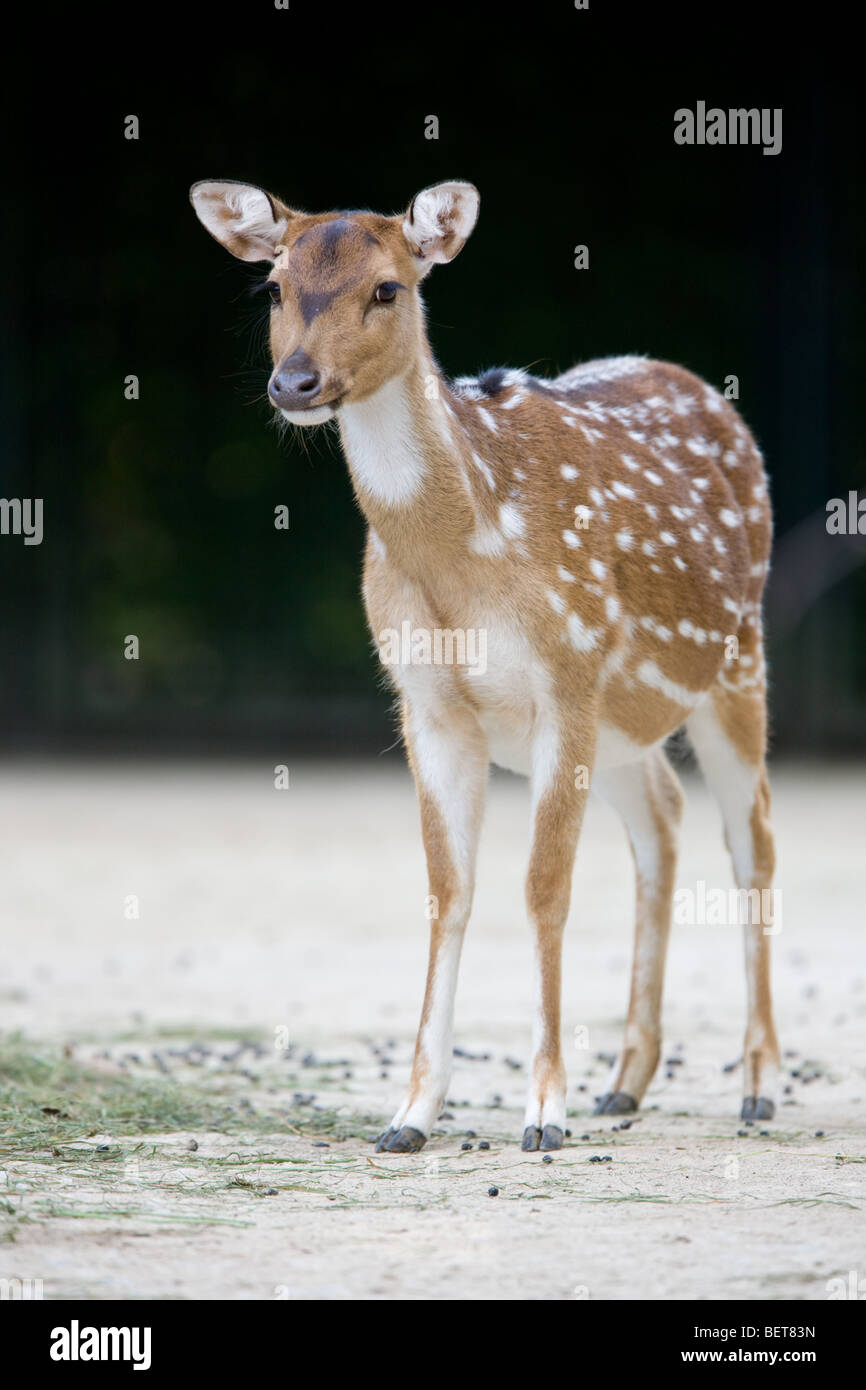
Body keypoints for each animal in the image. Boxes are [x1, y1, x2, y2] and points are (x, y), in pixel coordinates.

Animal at [193, 176, 783, 1150]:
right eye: (273, 288)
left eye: (388, 288)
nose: (295, 383)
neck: (463, 566)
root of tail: (709, 391)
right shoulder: (426, 704)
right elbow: (448, 889)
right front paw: (410, 1115)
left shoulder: (565, 673)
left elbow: (544, 888)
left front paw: (543, 1113)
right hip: (623, 717)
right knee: (661, 815)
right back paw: (625, 1083)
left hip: (736, 654)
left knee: (753, 838)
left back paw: (760, 1085)